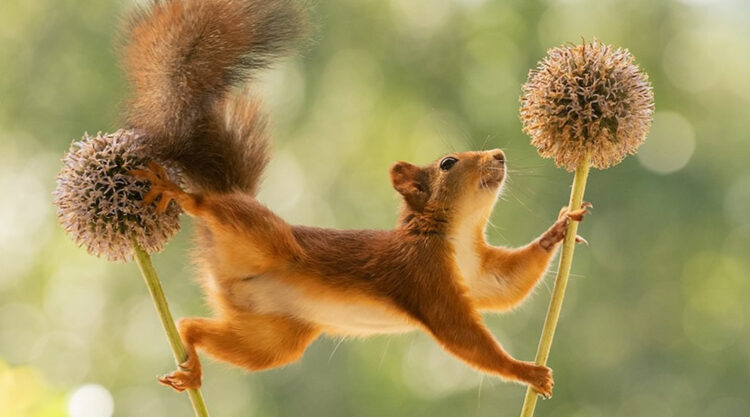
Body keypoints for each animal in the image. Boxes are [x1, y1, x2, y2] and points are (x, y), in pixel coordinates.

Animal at [125, 0, 592, 398]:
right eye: (448, 163)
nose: (499, 156)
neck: (456, 235)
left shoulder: (478, 274)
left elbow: (505, 286)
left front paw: (560, 227)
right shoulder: (422, 276)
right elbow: (460, 333)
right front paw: (526, 372)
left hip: (273, 339)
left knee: (197, 326)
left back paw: (189, 354)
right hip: (265, 237)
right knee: (210, 208)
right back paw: (177, 193)